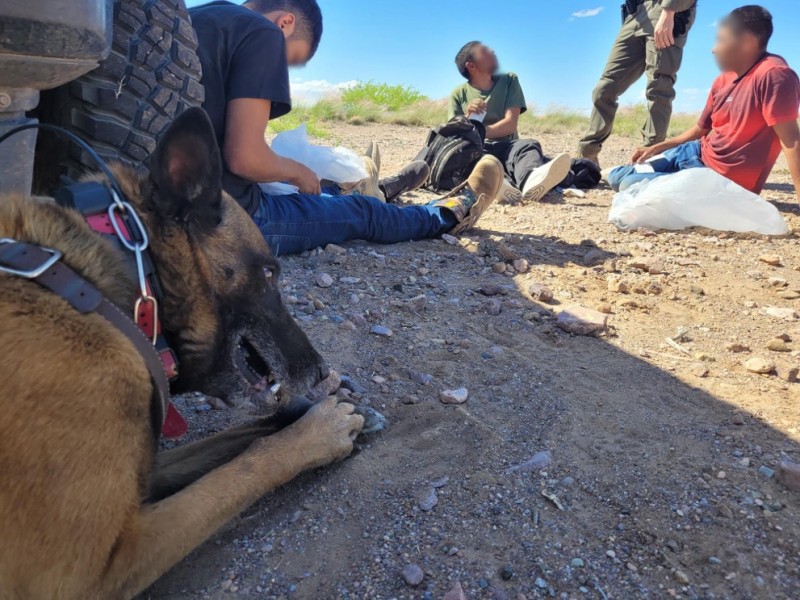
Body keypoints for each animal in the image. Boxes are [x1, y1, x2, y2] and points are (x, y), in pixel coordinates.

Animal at [0, 109, 362, 600]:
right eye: (269, 273)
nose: (322, 371)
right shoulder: (91, 574)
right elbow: (240, 471)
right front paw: (316, 433)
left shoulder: (142, 471)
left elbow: (232, 439)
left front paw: (303, 413)